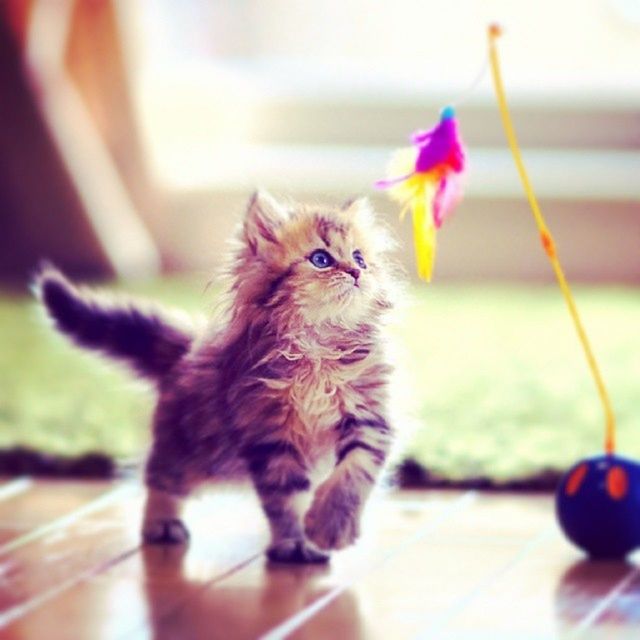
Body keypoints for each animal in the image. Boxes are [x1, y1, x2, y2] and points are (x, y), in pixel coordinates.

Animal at [35, 192, 398, 564]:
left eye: (360, 258)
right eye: (321, 259)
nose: (356, 272)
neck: (317, 349)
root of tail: (189, 349)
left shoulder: (370, 417)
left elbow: (354, 472)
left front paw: (330, 525)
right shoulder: (269, 435)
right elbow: (285, 499)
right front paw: (295, 543)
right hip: (194, 449)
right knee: (160, 477)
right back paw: (161, 524)